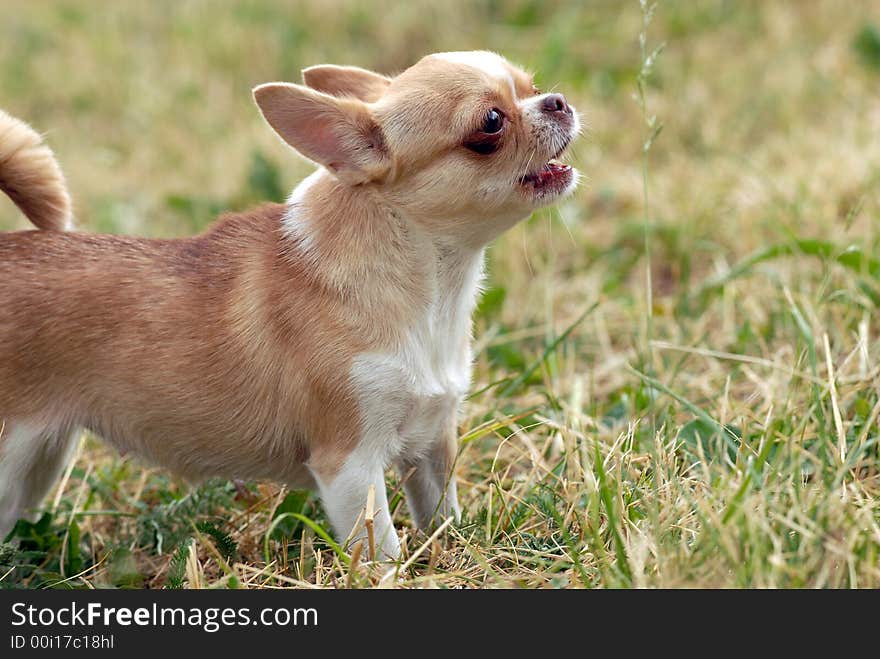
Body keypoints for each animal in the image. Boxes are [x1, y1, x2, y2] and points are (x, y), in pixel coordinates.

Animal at [0, 51, 576, 560]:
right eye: (491, 123)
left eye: (529, 86)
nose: (557, 101)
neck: (429, 290)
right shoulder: (350, 466)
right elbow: (382, 549)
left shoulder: (432, 445)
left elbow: (442, 516)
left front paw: (453, 555)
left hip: (40, 462)